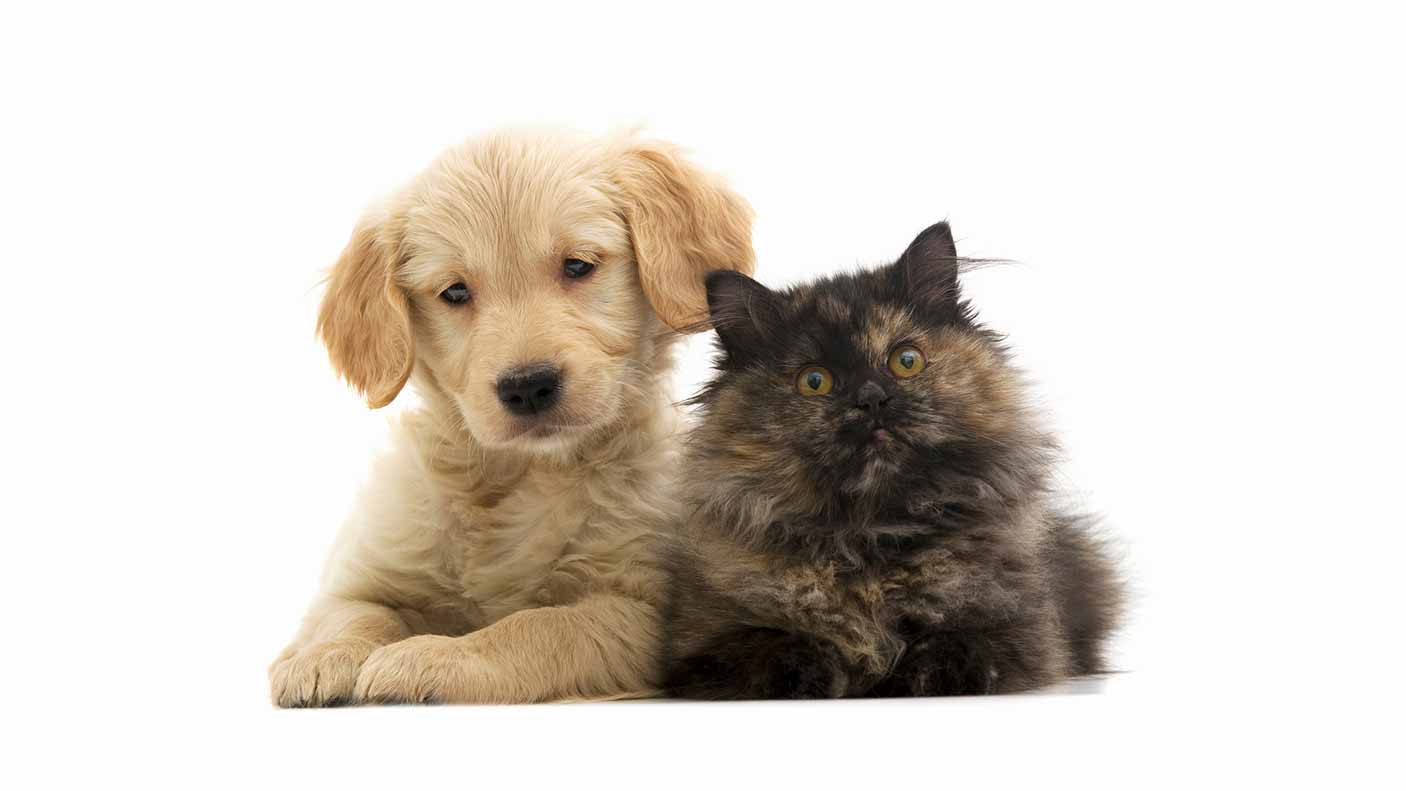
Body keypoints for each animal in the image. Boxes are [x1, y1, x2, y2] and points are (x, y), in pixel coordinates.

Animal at [272, 129, 759, 705]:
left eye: (578, 266)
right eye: (455, 292)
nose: (527, 387)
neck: (523, 472)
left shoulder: (641, 610)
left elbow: (538, 627)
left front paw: (435, 657)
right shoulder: (367, 566)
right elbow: (351, 613)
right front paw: (321, 656)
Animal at [658, 221, 1119, 699]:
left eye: (906, 361)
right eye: (815, 381)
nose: (871, 398)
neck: (870, 536)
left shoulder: (1023, 629)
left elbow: (955, 643)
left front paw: (912, 671)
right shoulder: (701, 644)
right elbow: (777, 646)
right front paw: (821, 669)